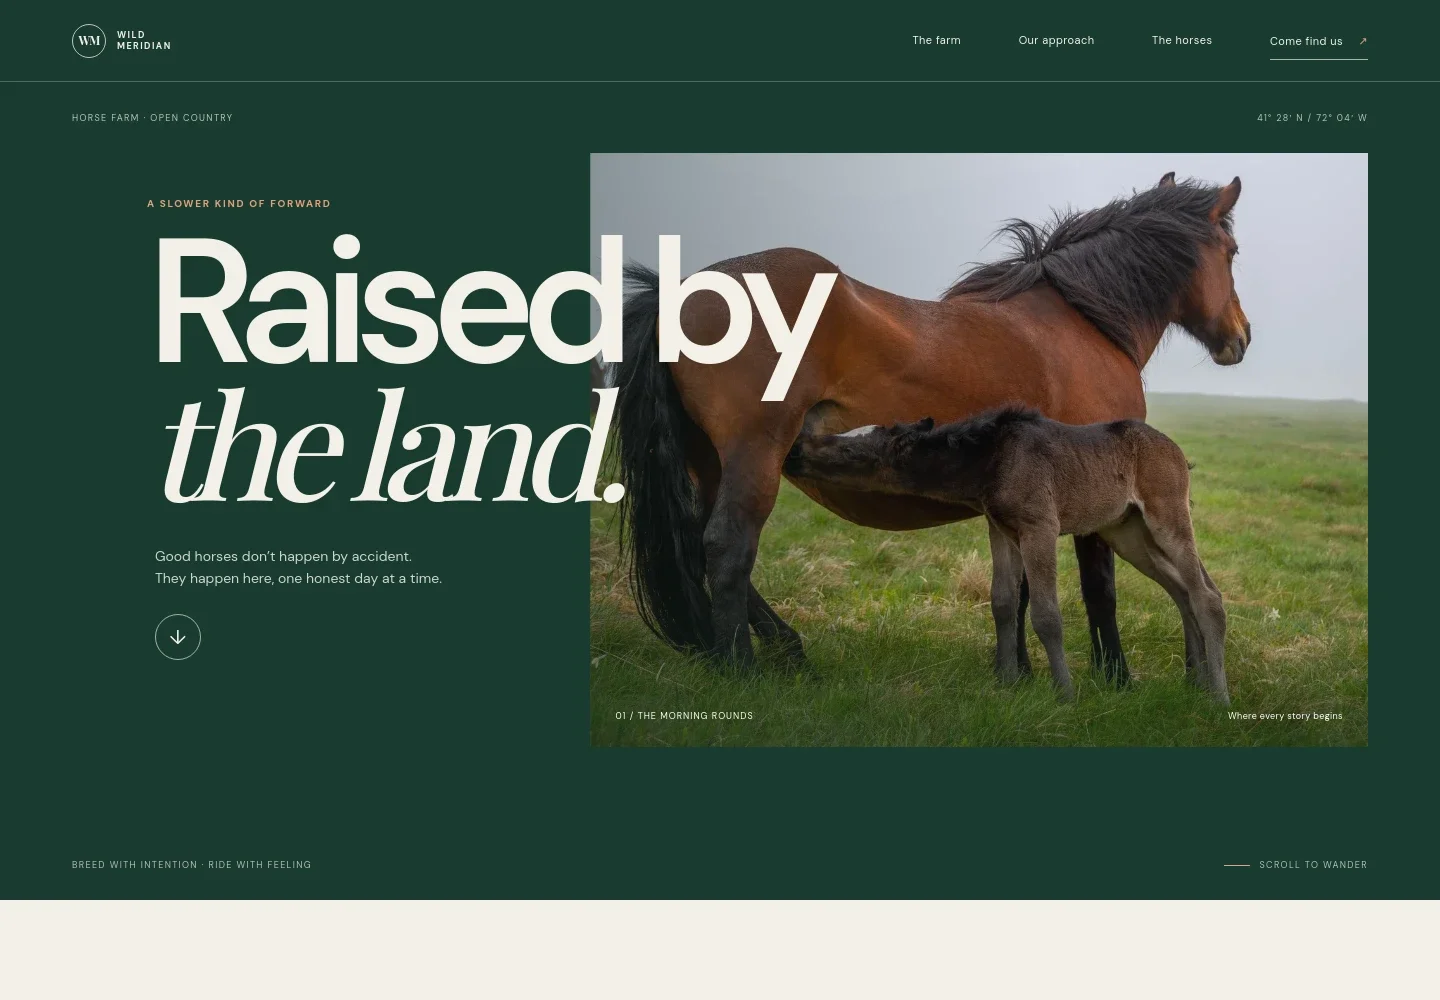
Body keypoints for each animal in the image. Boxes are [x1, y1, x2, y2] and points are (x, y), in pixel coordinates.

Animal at [784, 410, 1229, 704]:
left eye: (851, 452)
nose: (793, 452)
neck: (991, 461)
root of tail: (1177, 452)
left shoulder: (1039, 528)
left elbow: (1046, 614)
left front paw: (1065, 693)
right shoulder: (1000, 530)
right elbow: (1003, 602)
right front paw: (1008, 682)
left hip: (1166, 516)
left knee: (1206, 595)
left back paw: (1218, 697)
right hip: (1128, 532)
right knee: (1184, 590)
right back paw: (1198, 682)